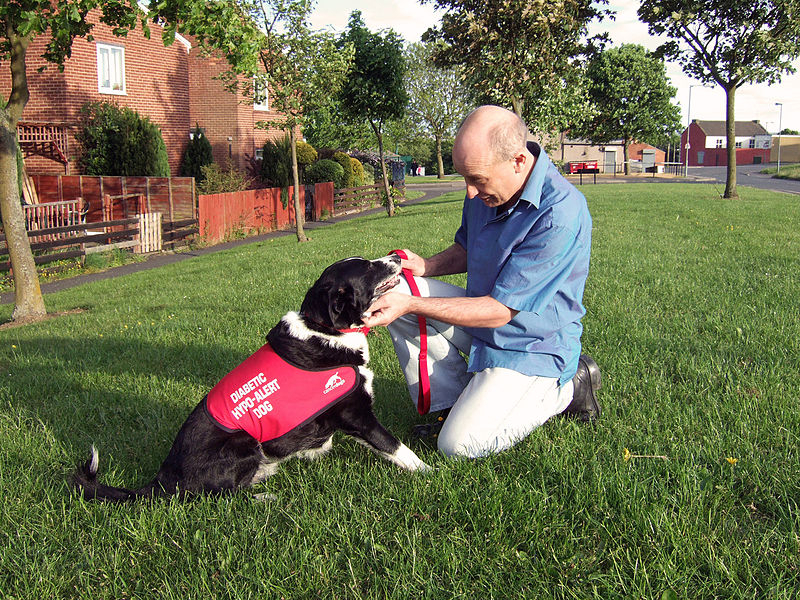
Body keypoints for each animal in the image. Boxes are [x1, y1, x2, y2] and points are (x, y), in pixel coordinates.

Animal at [72, 256, 428, 502]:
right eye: (367, 268)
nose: (396, 256)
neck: (325, 331)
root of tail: (165, 478)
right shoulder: (357, 415)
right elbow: (397, 448)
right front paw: (432, 473)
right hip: (244, 442)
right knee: (220, 496)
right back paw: (262, 493)